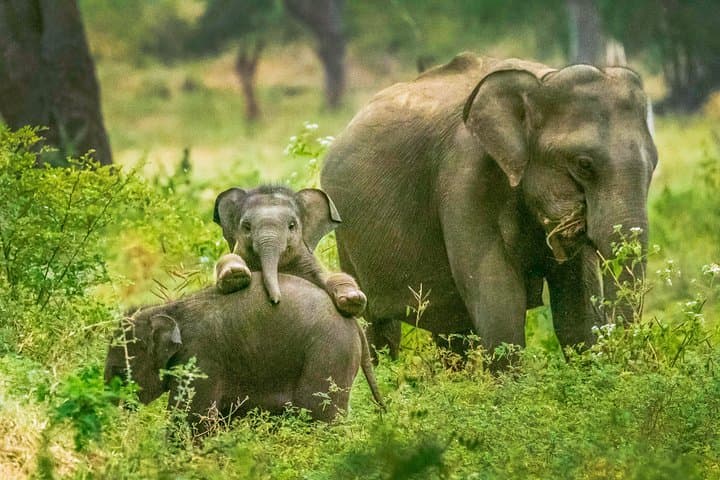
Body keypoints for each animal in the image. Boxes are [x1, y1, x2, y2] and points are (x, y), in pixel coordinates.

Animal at [104, 273, 385, 428]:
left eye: (119, 371)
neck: (170, 307)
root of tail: (354, 323)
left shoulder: (200, 358)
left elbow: (193, 418)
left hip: (329, 354)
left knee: (318, 415)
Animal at [213, 185, 367, 317]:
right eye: (246, 226)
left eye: (291, 226)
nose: (275, 301)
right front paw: (235, 274)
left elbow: (333, 277)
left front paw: (353, 298)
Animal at [320, 53, 657, 360]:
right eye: (584, 165)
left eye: (653, 165)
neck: (542, 81)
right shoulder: (464, 177)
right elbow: (498, 300)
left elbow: (577, 310)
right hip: (346, 237)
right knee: (378, 327)